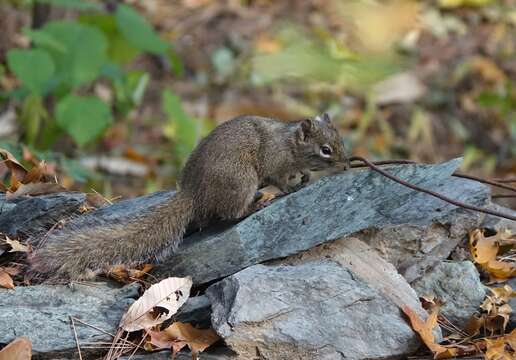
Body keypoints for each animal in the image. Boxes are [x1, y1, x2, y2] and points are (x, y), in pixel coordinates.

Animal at [29, 112, 350, 278]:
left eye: (340, 141)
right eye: (325, 149)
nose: (347, 164)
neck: (289, 143)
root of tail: (194, 194)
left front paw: (306, 177)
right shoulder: (275, 164)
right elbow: (282, 181)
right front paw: (294, 187)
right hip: (241, 180)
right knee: (231, 213)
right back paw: (255, 205)